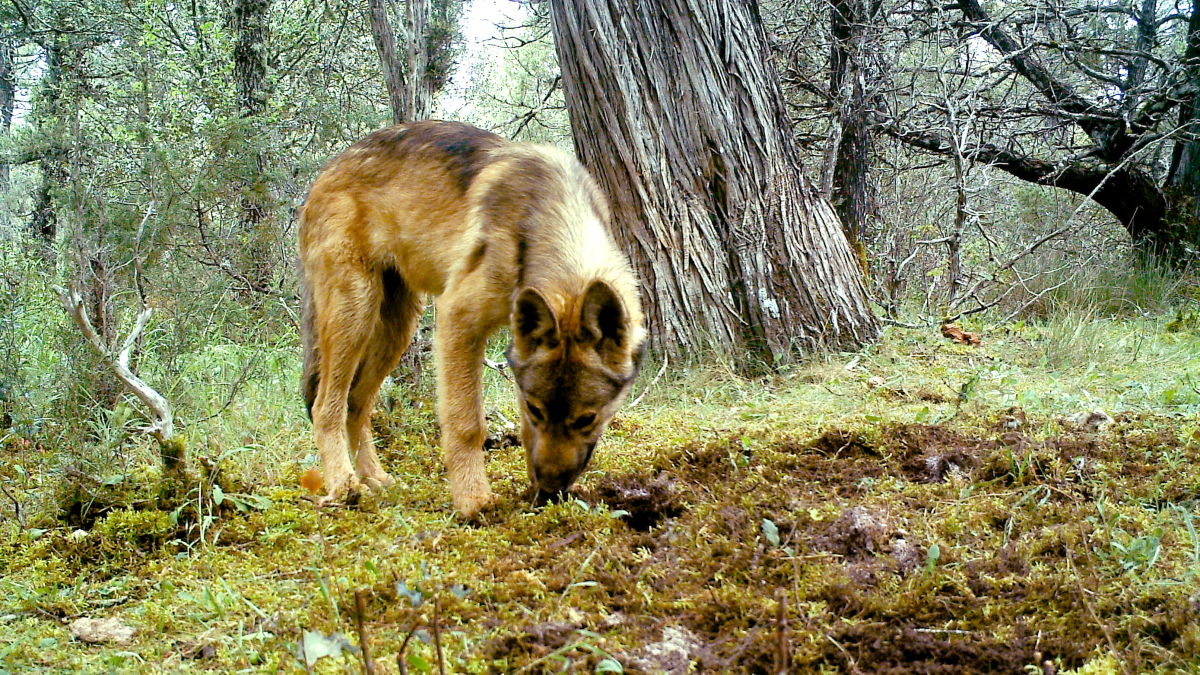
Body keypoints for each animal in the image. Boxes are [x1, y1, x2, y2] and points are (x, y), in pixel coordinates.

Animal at [298, 120, 646, 518]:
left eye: (587, 419)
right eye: (535, 409)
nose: (550, 489)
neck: (550, 216)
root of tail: (324, 172)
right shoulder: (457, 318)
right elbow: (467, 423)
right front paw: (473, 501)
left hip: (398, 326)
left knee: (356, 403)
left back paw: (375, 479)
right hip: (355, 313)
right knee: (325, 405)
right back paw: (343, 486)